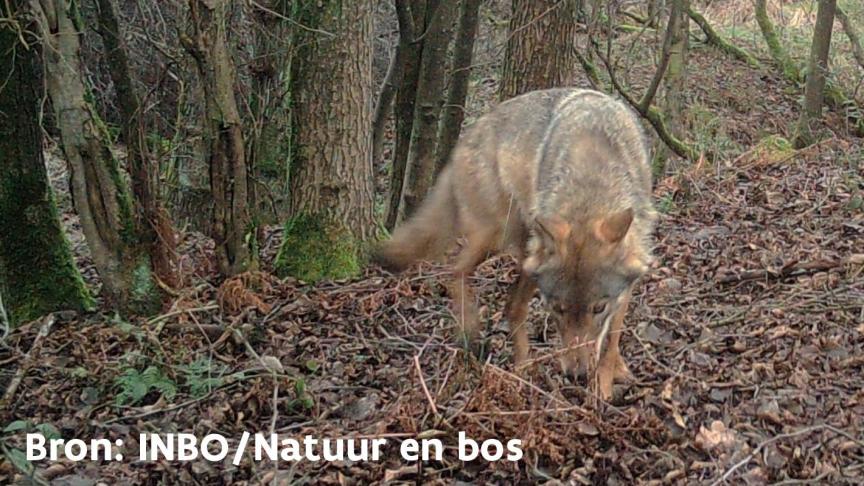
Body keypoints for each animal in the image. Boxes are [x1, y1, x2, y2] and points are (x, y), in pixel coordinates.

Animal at [375, 88, 656, 399]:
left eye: (598, 308)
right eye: (557, 309)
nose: (577, 375)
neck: (591, 184)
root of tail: (470, 133)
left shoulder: (628, 282)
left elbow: (612, 338)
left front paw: (606, 381)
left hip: (525, 252)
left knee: (509, 303)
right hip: (497, 236)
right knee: (457, 271)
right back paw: (484, 342)